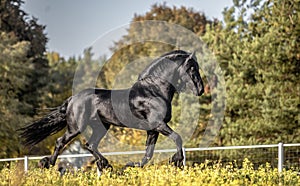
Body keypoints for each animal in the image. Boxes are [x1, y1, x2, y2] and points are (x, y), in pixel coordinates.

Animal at [18, 49, 204, 173]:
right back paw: (47, 164)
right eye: (192, 68)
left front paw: (131, 166)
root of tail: (72, 99)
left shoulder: (153, 129)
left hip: (101, 127)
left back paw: (105, 164)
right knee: (61, 142)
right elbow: (177, 138)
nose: (201, 90)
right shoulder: (158, 124)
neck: (153, 90)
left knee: (90, 145)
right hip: (76, 127)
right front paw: (177, 161)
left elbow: (148, 154)